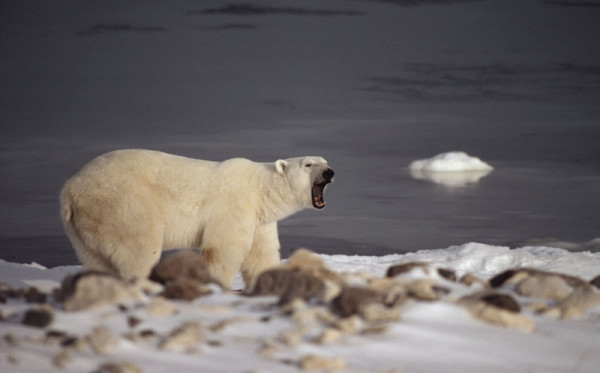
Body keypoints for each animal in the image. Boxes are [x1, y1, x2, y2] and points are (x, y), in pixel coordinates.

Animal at [59, 149, 336, 288]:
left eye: (325, 161)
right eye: (308, 164)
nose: (329, 171)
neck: (259, 188)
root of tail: (70, 189)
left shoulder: (260, 219)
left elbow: (261, 255)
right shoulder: (233, 204)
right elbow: (223, 250)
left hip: (84, 225)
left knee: (95, 259)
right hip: (121, 204)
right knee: (138, 248)